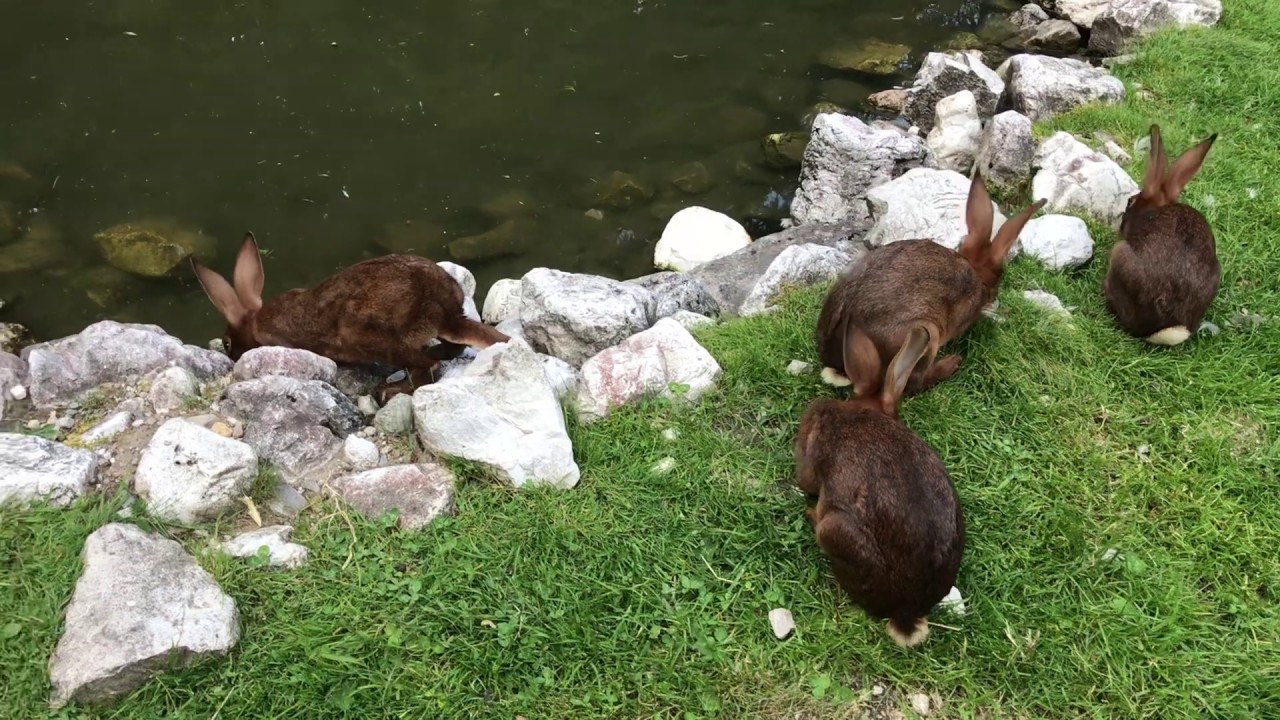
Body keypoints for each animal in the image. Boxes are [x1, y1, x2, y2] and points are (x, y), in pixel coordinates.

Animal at [191, 232, 509, 396]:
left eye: (227, 343)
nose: (232, 356)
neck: (255, 321)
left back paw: (387, 392)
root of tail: (442, 313)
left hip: (371, 338)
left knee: (428, 367)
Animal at [814, 170, 1045, 395]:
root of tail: (841, 367)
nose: (995, 296)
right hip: (926, 335)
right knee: (912, 383)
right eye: (999, 277)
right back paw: (951, 363)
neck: (974, 269)